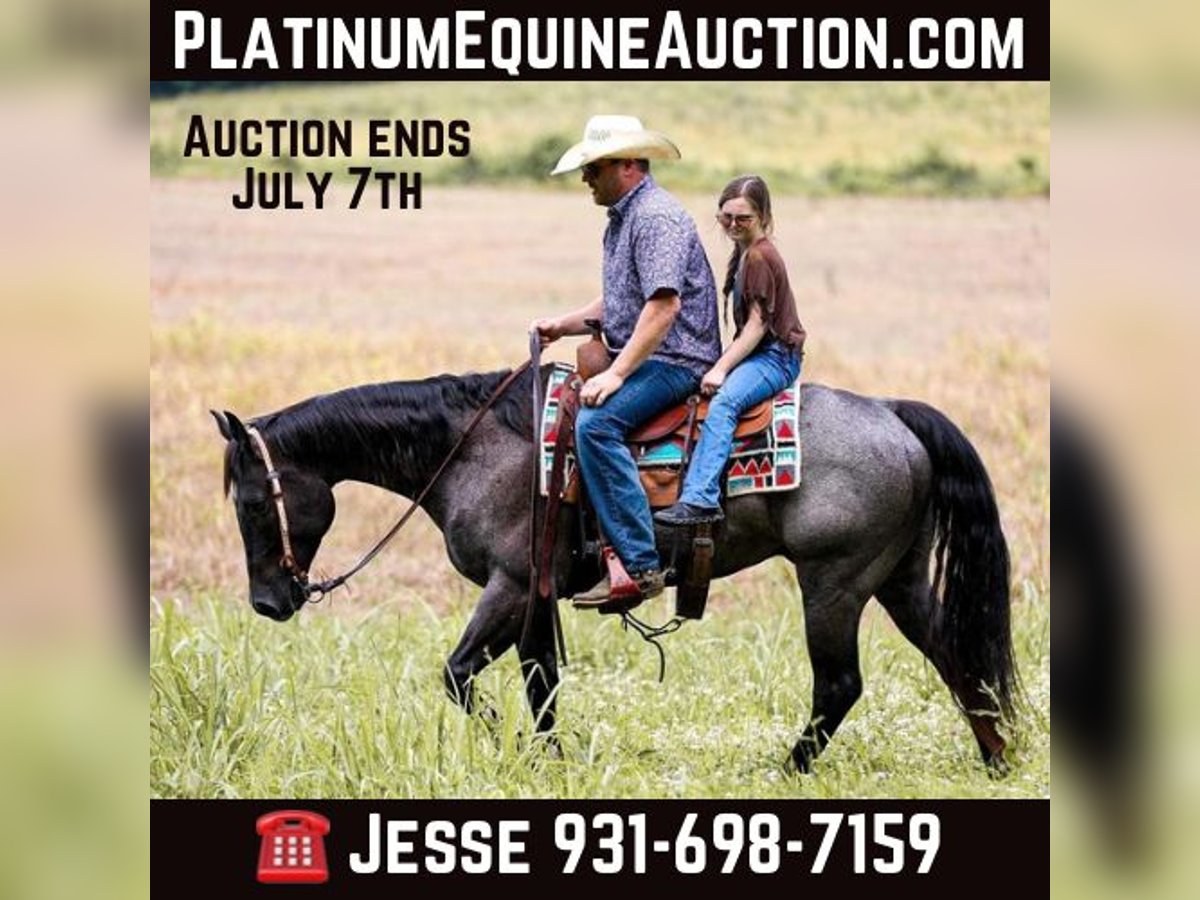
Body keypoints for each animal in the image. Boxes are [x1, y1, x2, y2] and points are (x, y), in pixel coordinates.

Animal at [212, 364, 1018, 772]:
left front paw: (513, 749)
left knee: (841, 684)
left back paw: (787, 769)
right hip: (898, 579)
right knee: (956, 658)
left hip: (834, 583)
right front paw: (548, 761)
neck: (474, 448)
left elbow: (460, 674)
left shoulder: (510, 586)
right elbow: (542, 682)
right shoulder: (536, 596)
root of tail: (891, 411)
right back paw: (995, 760)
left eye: (251, 503)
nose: (267, 604)